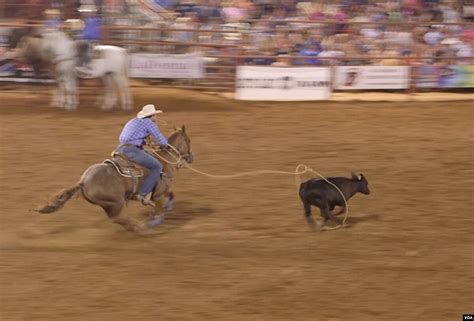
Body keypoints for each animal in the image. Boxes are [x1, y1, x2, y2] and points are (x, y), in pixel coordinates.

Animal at [36, 125, 193, 230]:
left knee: (116, 219)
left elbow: (171, 195)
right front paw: (154, 221)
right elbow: (160, 210)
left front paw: (168, 208)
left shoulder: (162, 192)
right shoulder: (159, 194)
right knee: (116, 218)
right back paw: (138, 227)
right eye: (189, 140)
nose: (191, 157)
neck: (165, 160)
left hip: (107, 204)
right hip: (115, 202)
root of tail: (83, 182)